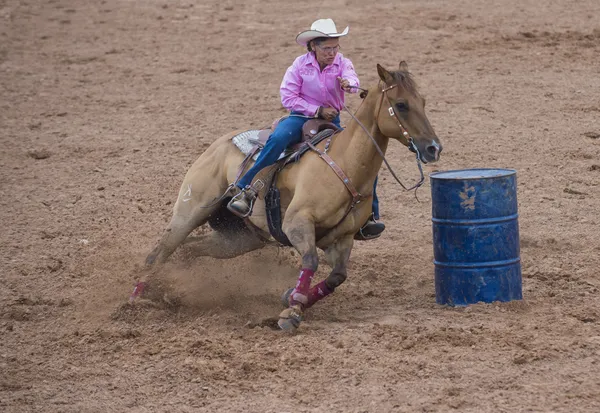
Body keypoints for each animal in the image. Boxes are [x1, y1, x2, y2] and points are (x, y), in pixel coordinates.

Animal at [131, 61, 440, 332]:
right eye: (401, 105)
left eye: (423, 101)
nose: (434, 148)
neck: (345, 164)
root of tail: (216, 145)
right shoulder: (297, 224)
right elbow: (311, 262)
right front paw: (291, 312)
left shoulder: (342, 238)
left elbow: (337, 277)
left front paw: (292, 297)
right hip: (190, 211)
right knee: (160, 252)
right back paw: (137, 299)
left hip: (240, 238)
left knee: (190, 248)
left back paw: (172, 288)